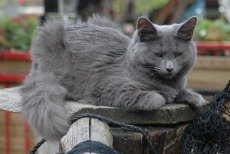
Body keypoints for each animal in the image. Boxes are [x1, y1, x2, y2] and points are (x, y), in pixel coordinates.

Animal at [20, 15, 206, 141]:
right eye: (158, 54)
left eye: (178, 54)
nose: (169, 68)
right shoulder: (107, 86)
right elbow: (155, 97)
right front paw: (164, 96)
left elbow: (183, 92)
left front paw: (194, 98)